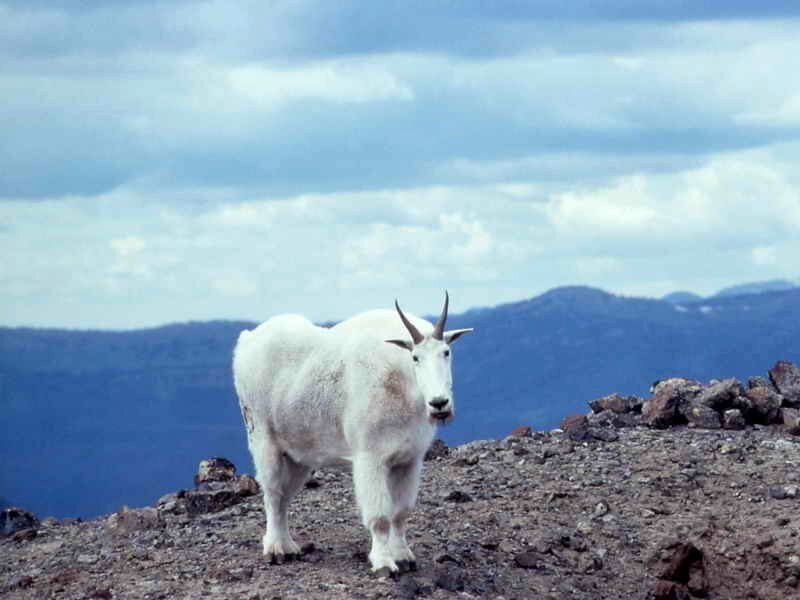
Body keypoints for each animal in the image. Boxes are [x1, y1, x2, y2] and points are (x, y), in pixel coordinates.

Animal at [232, 293, 472, 574]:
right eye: (415, 357)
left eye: (446, 352)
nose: (439, 403)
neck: (404, 384)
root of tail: (246, 341)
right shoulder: (370, 458)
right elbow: (380, 517)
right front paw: (384, 563)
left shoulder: (409, 460)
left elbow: (401, 512)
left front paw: (404, 557)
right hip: (262, 437)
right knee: (272, 493)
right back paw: (275, 550)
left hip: (297, 453)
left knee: (284, 497)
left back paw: (289, 547)